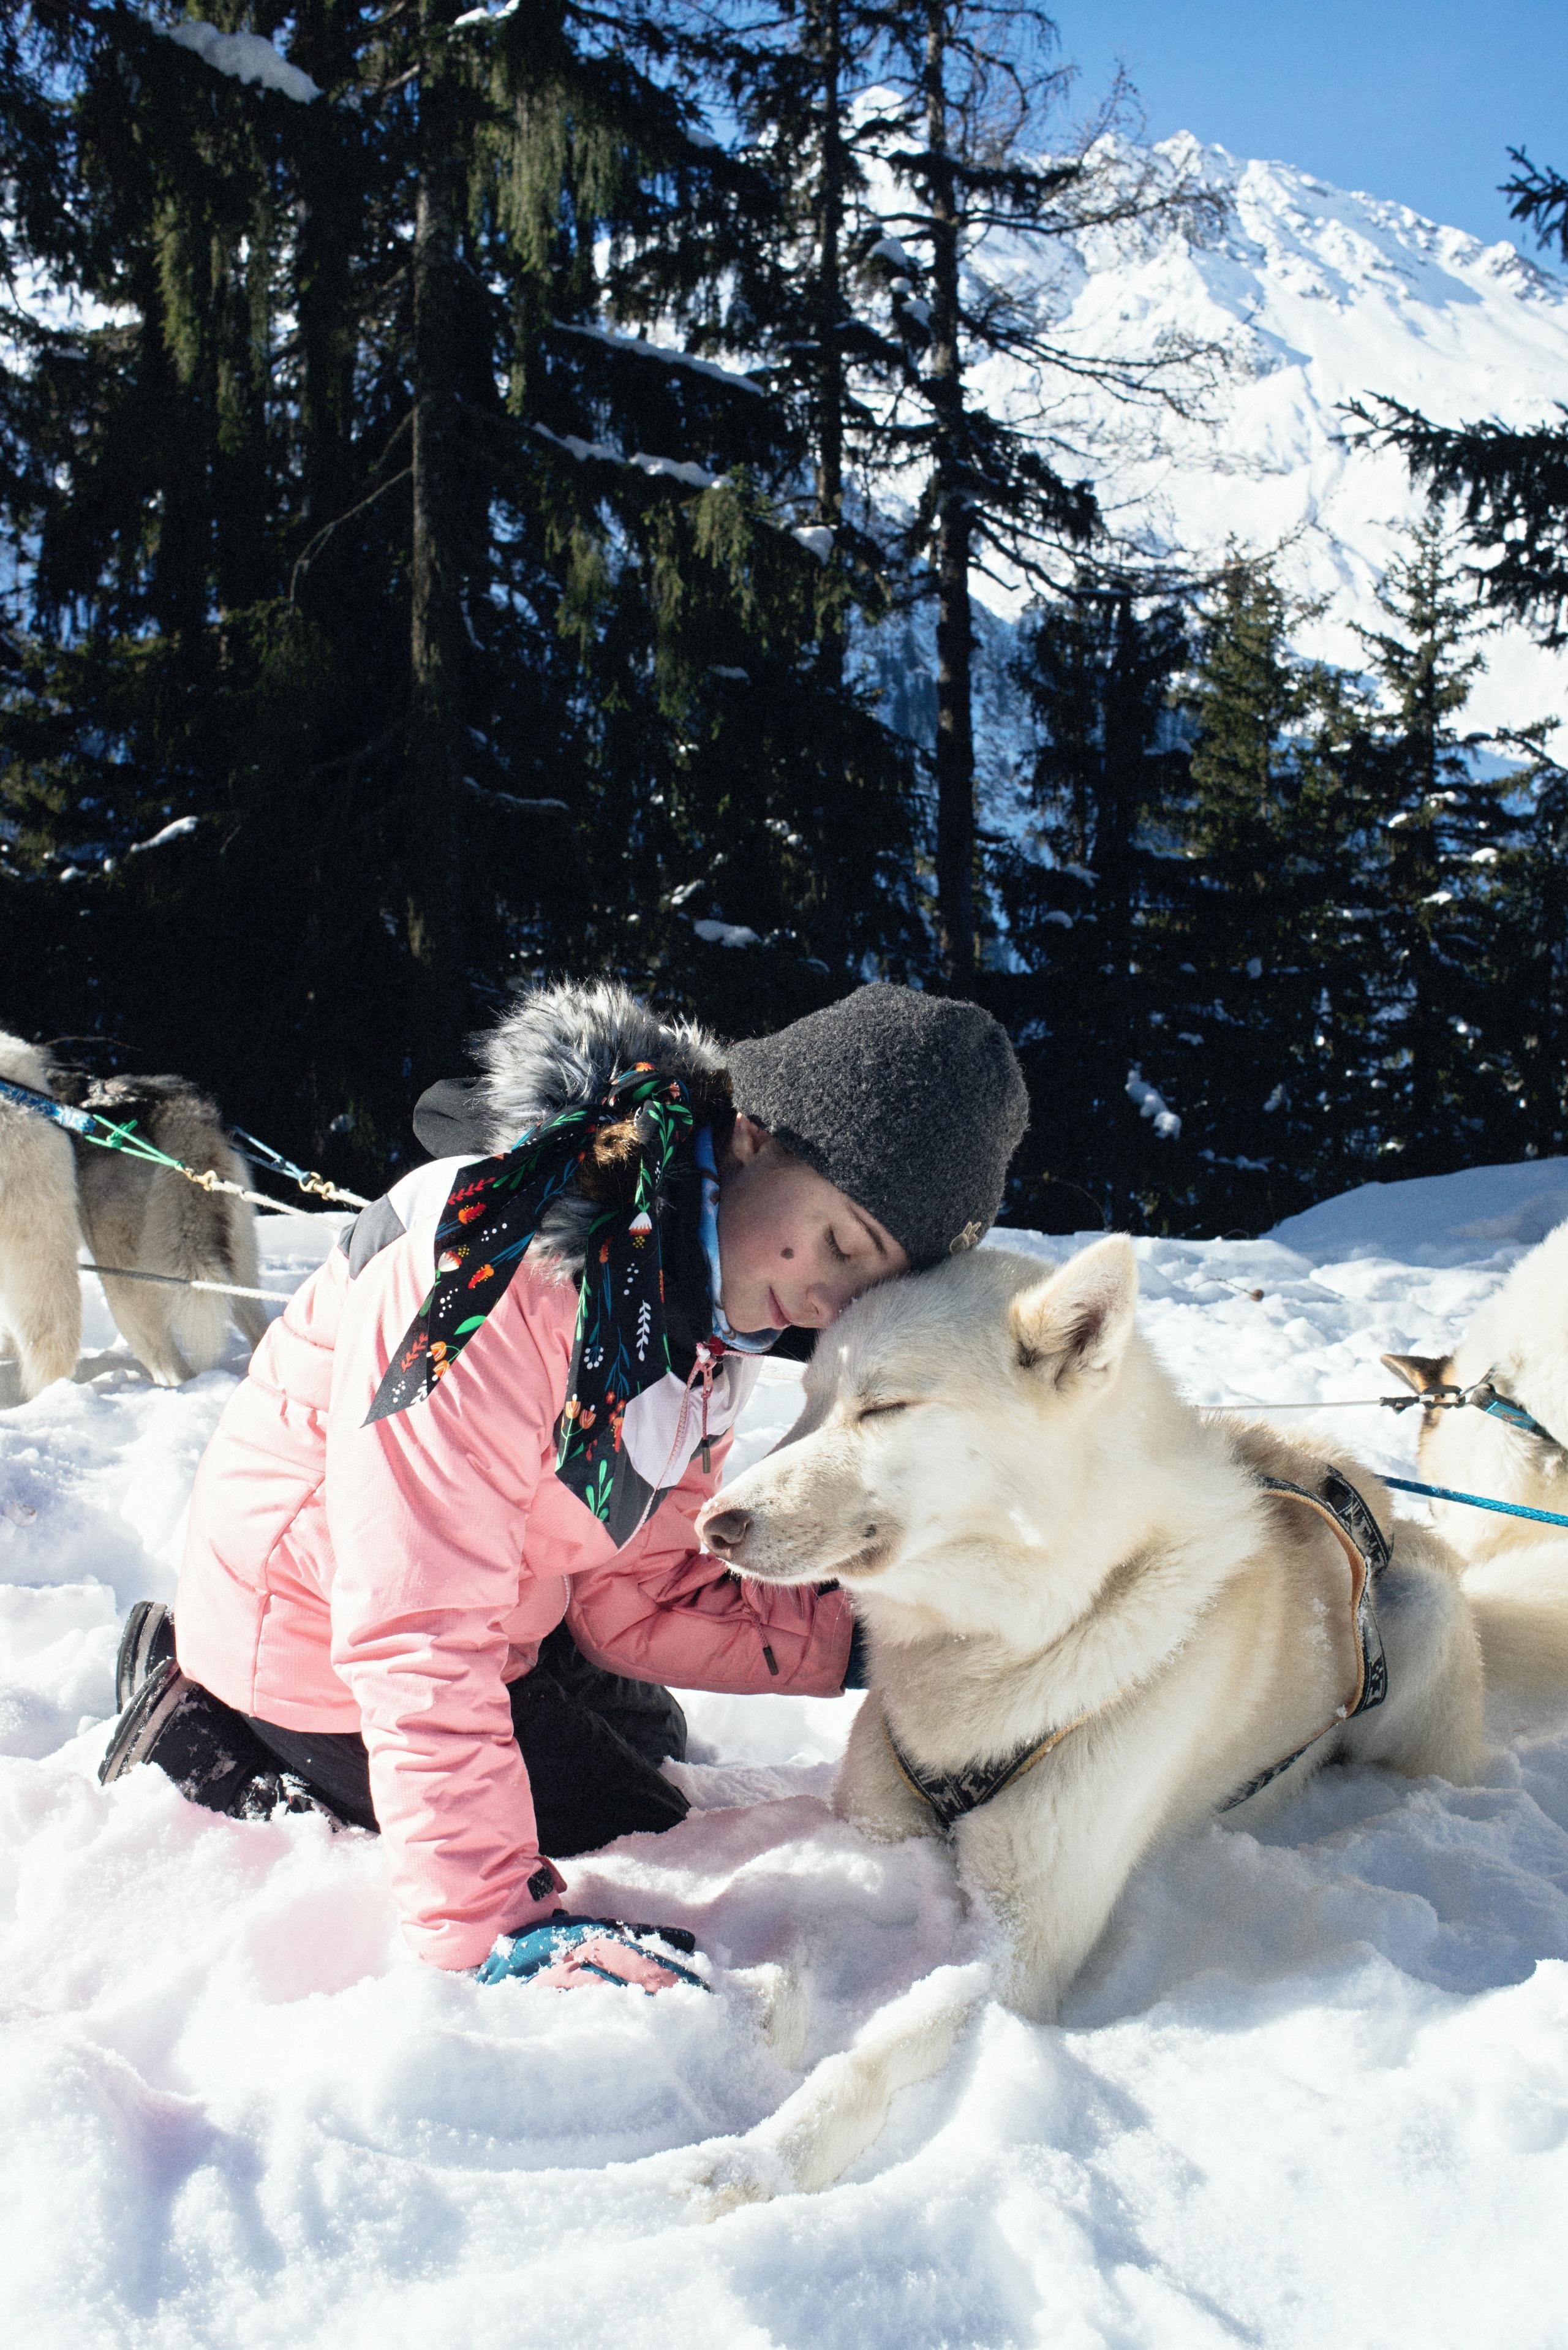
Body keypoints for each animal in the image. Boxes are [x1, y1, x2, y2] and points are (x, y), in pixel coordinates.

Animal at [691, 1241, 1568, 2208]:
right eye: (808, 1399)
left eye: (882, 1405)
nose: (711, 1524)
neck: (1012, 1643)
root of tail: (1372, 1493)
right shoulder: (872, 1831)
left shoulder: (1024, 1948)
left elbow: (876, 2052)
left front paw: (765, 2156)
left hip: (1424, 1621)